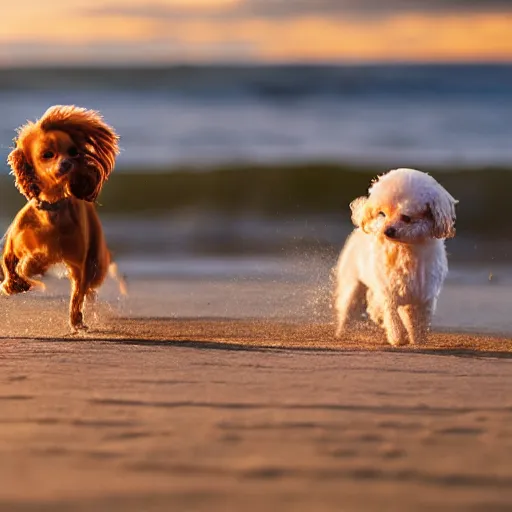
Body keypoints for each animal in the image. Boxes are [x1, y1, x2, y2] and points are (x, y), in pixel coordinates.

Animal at [1, 105, 125, 332]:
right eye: (47, 154)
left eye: (74, 151)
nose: (68, 163)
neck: (51, 208)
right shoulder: (14, 245)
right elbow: (11, 264)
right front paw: (16, 283)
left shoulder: (77, 262)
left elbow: (76, 293)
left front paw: (76, 321)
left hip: (94, 256)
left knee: (88, 287)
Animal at [334, 170, 458, 346]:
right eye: (383, 214)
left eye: (406, 217)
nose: (387, 231)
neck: (406, 248)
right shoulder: (389, 291)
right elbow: (392, 316)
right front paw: (398, 337)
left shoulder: (424, 293)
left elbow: (418, 320)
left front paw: (417, 339)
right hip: (353, 283)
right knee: (349, 306)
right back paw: (343, 331)